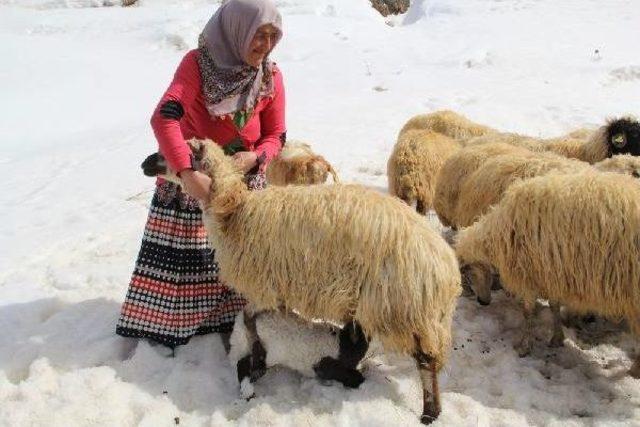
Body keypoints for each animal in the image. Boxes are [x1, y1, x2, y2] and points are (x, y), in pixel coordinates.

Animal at [230, 310, 370, 398]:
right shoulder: (332, 368)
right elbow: (353, 377)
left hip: (248, 346)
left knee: (242, 364)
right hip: (264, 352)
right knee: (247, 365)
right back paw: (248, 392)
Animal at [456, 171, 640, 378]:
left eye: (468, 272)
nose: (483, 302)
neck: (499, 234)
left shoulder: (528, 273)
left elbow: (528, 312)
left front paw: (524, 346)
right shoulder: (551, 273)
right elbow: (554, 306)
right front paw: (557, 338)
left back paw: (634, 371)